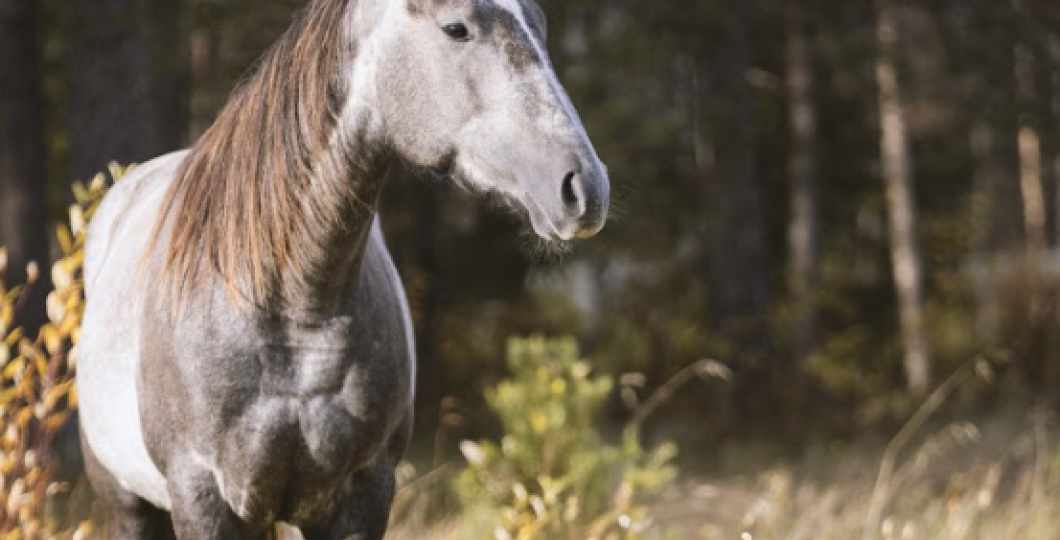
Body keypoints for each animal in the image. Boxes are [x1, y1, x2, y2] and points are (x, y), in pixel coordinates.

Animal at [76, 0, 608, 538]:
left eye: (540, 25)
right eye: (456, 28)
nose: (584, 186)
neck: (291, 307)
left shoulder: (364, 494)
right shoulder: (201, 495)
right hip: (126, 502)